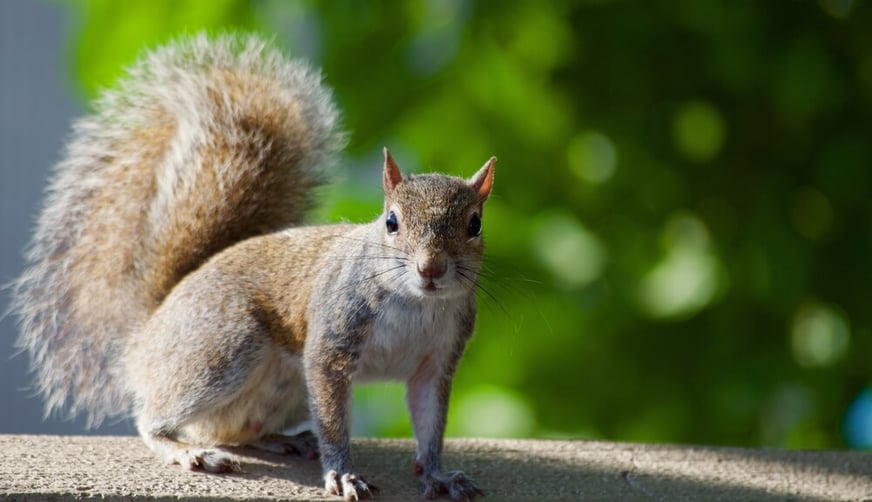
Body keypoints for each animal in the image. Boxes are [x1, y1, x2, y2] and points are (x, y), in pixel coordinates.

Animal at [11, 33, 494, 501]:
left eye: (475, 224)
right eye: (391, 222)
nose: (430, 269)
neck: (415, 304)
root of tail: (146, 334)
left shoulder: (437, 360)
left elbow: (430, 425)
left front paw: (438, 475)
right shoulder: (332, 341)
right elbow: (334, 421)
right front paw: (342, 473)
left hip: (284, 388)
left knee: (238, 428)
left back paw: (284, 440)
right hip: (223, 347)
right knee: (155, 419)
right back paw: (188, 451)